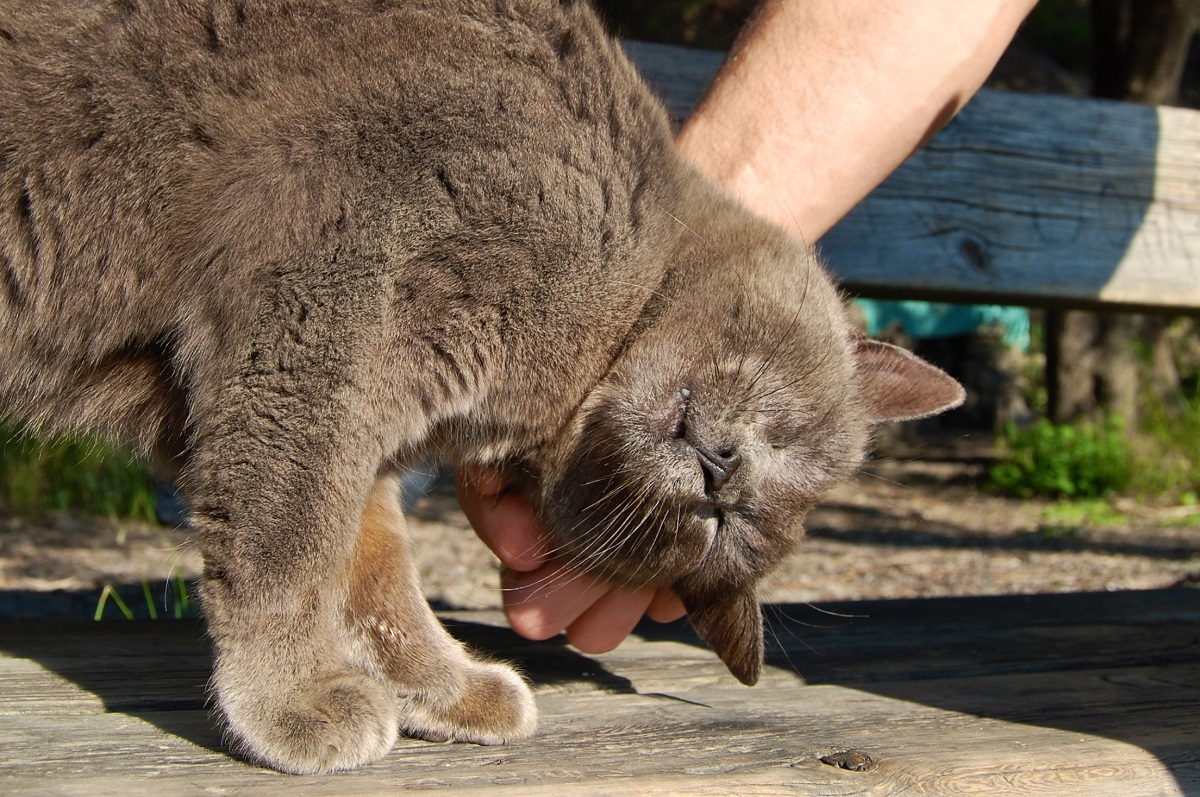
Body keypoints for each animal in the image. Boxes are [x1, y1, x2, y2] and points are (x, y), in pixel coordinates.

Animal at [0, 0, 955, 772]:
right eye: (789, 437)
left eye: (723, 527)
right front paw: (294, 697)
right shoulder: (325, 291)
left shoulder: (368, 405)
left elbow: (374, 565)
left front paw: (445, 686)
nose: (722, 472)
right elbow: (290, 529)